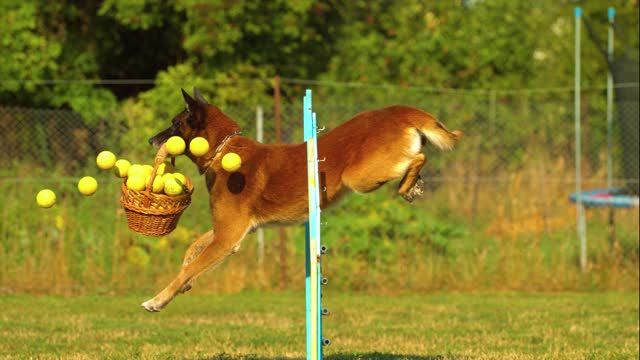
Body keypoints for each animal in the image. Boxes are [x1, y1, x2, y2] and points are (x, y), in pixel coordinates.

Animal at [141, 88, 460, 312]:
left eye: (174, 124)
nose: (150, 141)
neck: (223, 149)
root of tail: (398, 111)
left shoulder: (227, 237)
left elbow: (190, 267)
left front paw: (158, 300)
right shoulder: (230, 232)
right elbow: (192, 252)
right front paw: (186, 282)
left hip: (360, 177)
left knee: (419, 157)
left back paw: (408, 185)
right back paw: (413, 185)